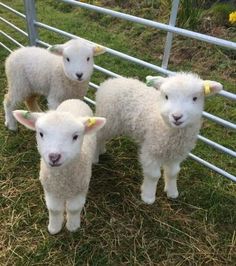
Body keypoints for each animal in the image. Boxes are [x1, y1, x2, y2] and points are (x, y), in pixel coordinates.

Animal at [12, 98, 105, 234]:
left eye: (75, 136)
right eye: (41, 133)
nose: (54, 157)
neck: (62, 180)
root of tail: (74, 99)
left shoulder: (80, 189)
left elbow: (74, 209)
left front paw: (73, 227)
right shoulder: (50, 190)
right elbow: (54, 209)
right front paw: (54, 228)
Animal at [94, 72, 223, 204]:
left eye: (195, 98)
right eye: (166, 96)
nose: (177, 116)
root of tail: (110, 81)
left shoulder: (176, 154)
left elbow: (173, 173)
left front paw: (172, 192)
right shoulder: (151, 149)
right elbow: (153, 175)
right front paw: (148, 197)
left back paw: (102, 150)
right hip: (109, 119)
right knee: (97, 136)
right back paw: (94, 157)